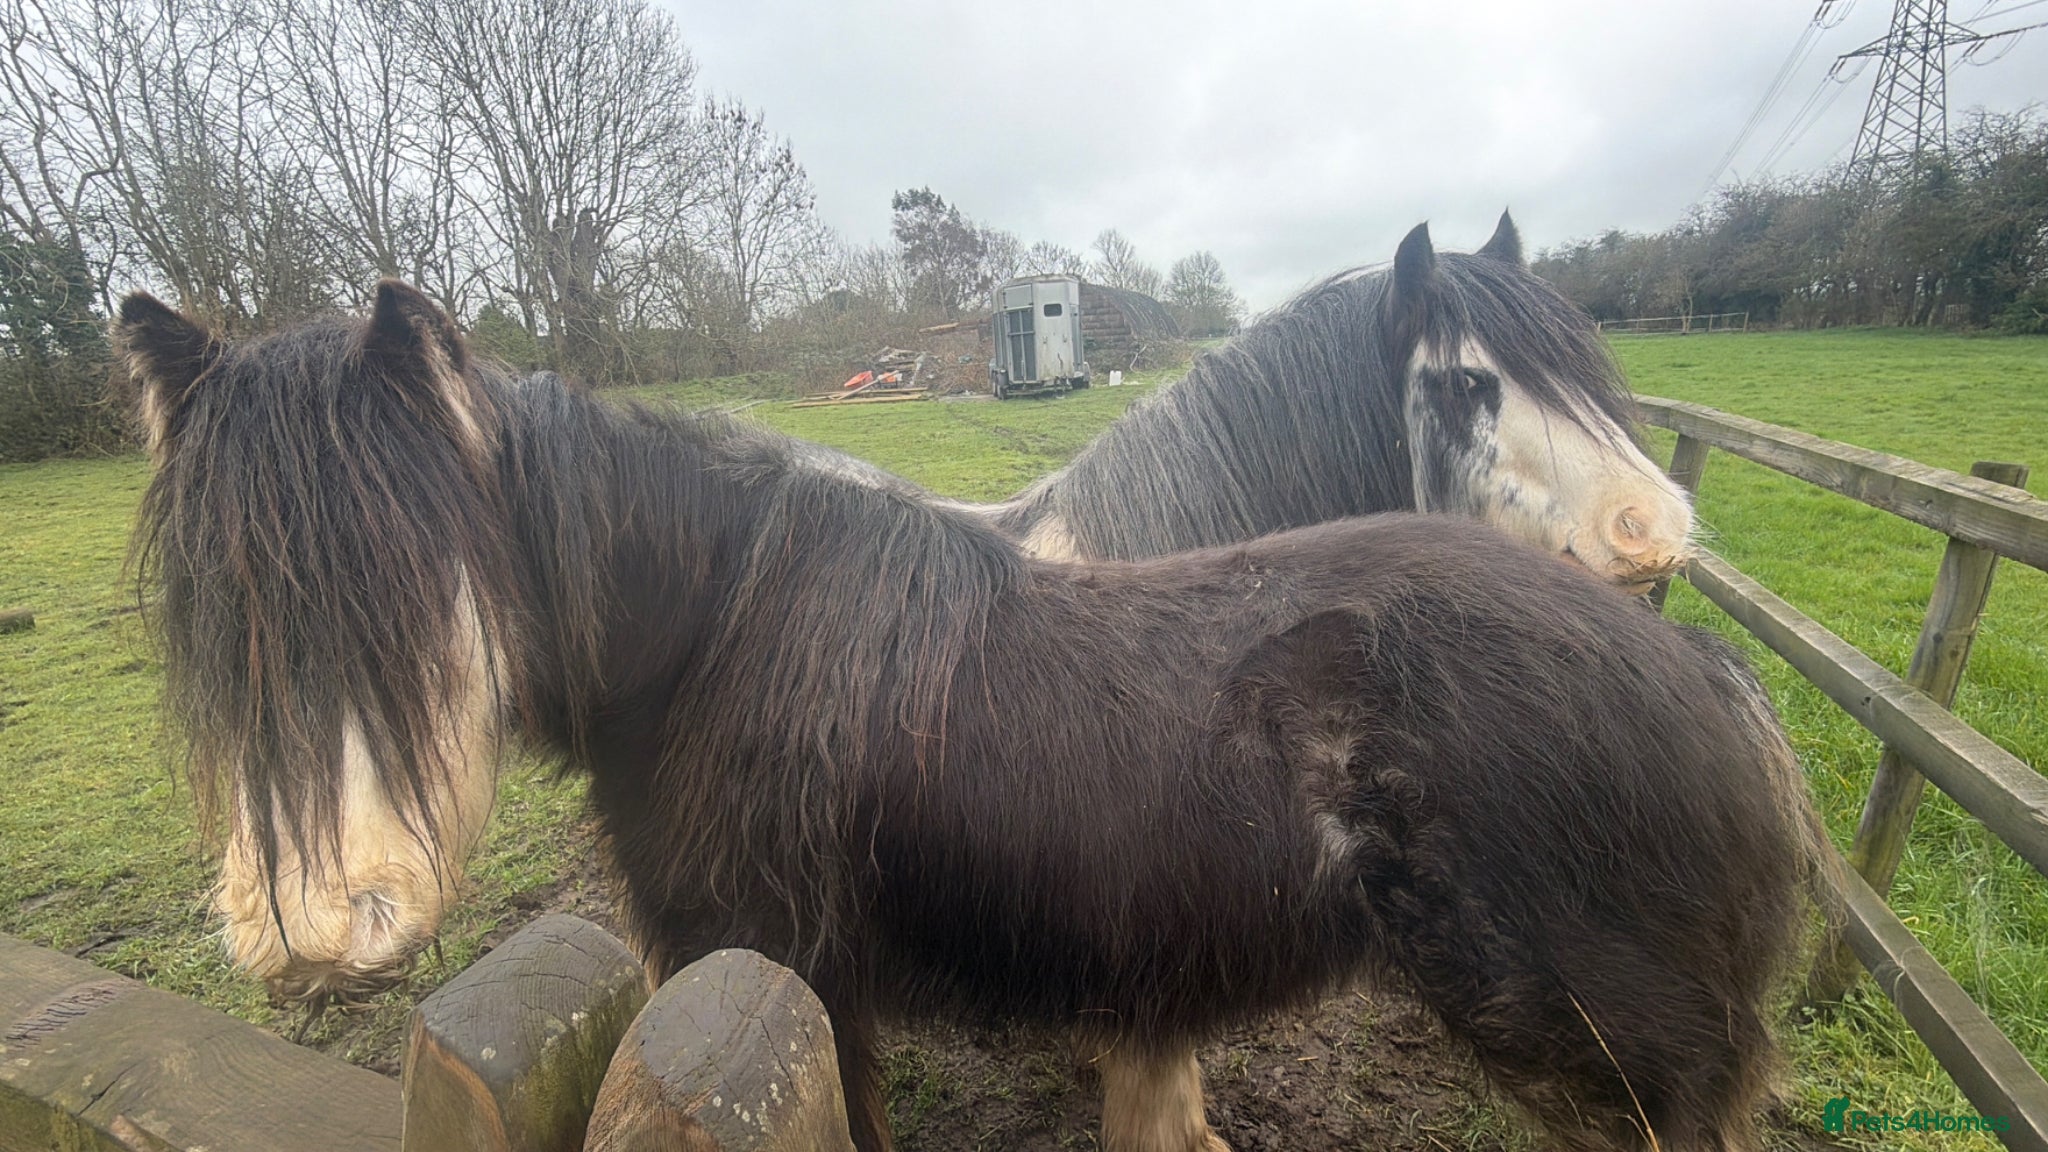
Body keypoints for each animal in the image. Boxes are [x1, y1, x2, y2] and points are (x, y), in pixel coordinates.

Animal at [124, 282, 1821, 1152]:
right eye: (209, 601)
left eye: (422, 577)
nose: (311, 924)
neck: (714, 631)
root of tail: (1713, 686)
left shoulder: (793, 985)